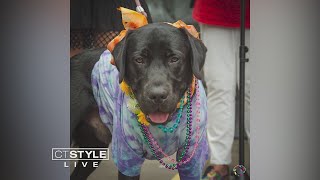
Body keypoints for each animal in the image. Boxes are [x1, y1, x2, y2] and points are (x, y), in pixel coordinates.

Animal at [71, 23, 208, 179]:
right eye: (139, 60)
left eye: (174, 59)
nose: (157, 95)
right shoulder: (128, 158)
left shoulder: (192, 160)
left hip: (94, 148)